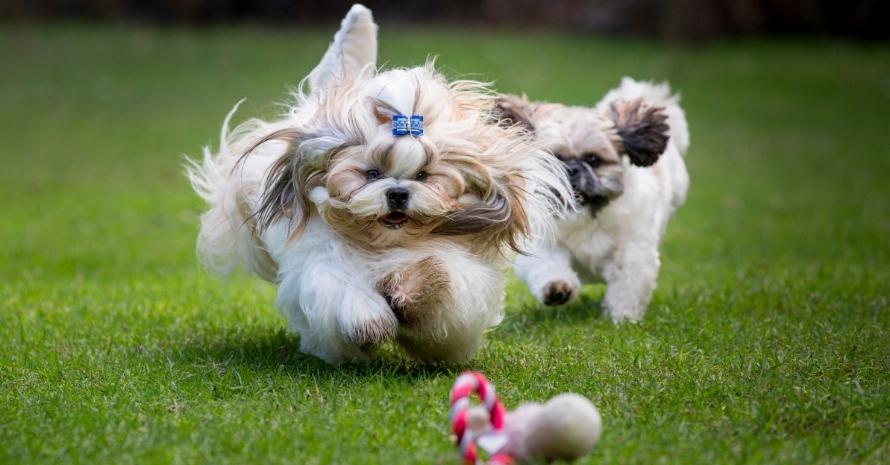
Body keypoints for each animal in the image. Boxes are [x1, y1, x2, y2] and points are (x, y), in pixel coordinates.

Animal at [187, 5, 568, 364]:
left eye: (422, 176)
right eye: (371, 173)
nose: (397, 193)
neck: (384, 243)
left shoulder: (458, 267)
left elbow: (441, 284)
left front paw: (411, 293)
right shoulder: (328, 266)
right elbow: (350, 296)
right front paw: (371, 325)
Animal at [496, 78, 692, 320]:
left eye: (593, 159)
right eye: (554, 159)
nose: (571, 169)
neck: (587, 215)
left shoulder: (633, 251)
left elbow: (628, 284)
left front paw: (623, 318)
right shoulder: (542, 243)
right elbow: (548, 266)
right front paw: (557, 289)